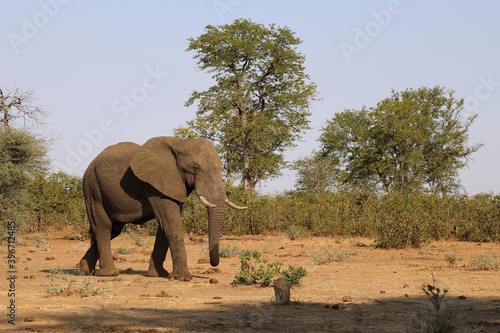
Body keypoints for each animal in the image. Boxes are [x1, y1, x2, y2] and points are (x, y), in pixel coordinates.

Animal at [77, 136, 246, 278]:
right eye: (196, 168)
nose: (213, 264)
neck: (182, 143)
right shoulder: (155, 183)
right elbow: (169, 220)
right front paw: (182, 278)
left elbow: (165, 223)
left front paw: (157, 275)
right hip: (93, 188)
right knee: (103, 226)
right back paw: (109, 274)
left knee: (114, 229)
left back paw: (84, 268)